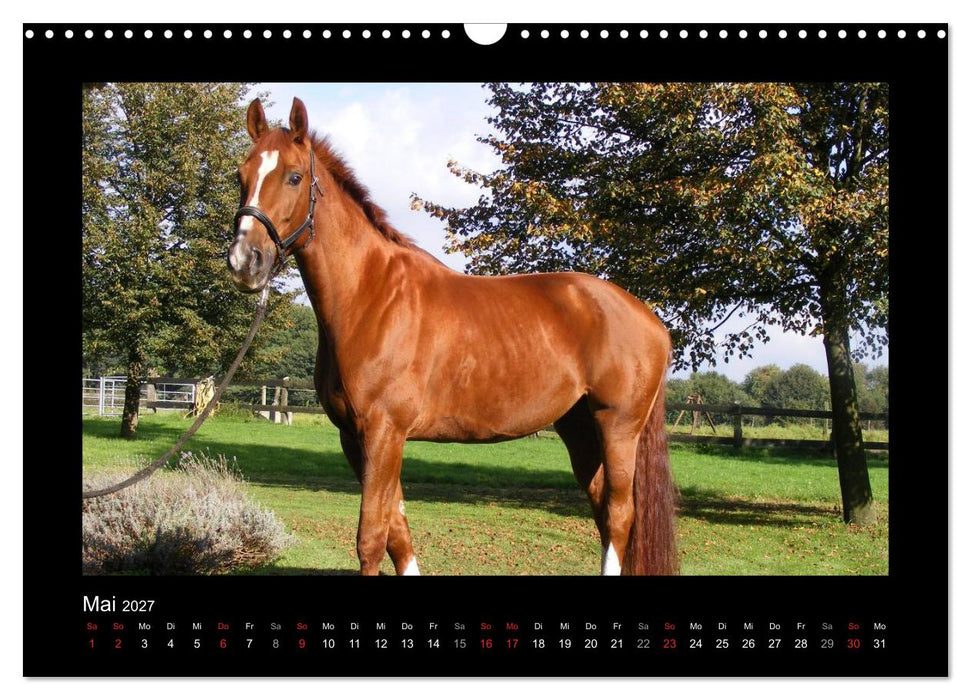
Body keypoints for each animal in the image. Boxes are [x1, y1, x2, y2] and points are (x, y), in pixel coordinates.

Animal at [227, 97, 678, 576]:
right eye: (241, 175)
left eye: (294, 176)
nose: (244, 261)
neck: (371, 295)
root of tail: (649, 319)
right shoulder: (356, 438)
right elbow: (398, 534)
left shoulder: (383, 433)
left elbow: (371, 538)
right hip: (579, 426)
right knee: (600, 509)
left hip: (618, 426)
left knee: (618, 514)